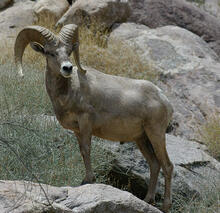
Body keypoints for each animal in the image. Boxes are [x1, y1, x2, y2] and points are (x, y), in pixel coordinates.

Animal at [14, 24, 174, 212]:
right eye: (49, 52)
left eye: (68, 51)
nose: (67, 68)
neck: (69, 92)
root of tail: (164, 99)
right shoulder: (77, 130)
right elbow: (82, 151)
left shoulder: (85, 122)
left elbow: (86, 149)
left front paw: (88, 180)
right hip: (141, 139)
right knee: (154, 164)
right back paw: (148, 200)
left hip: (155, 133)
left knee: (167, 166)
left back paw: (165, 205)